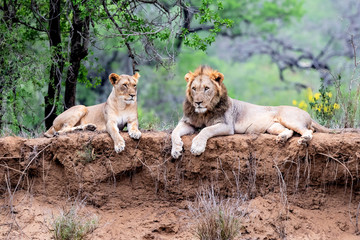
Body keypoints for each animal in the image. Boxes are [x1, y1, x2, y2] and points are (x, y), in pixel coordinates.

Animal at [170, 66, 352, 159]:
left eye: (207, 88)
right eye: (194, 89)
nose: (198, 102)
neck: (203, 113)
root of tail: (307, 113)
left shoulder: (226, 126)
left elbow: (205, 130)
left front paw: (197, 147)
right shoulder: (187, 122)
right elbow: (174, 132)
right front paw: (176, 150)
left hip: (289, 117)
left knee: (308, 130)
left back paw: (304, 139)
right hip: (273, 127)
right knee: (289, 131)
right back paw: (282, 138)